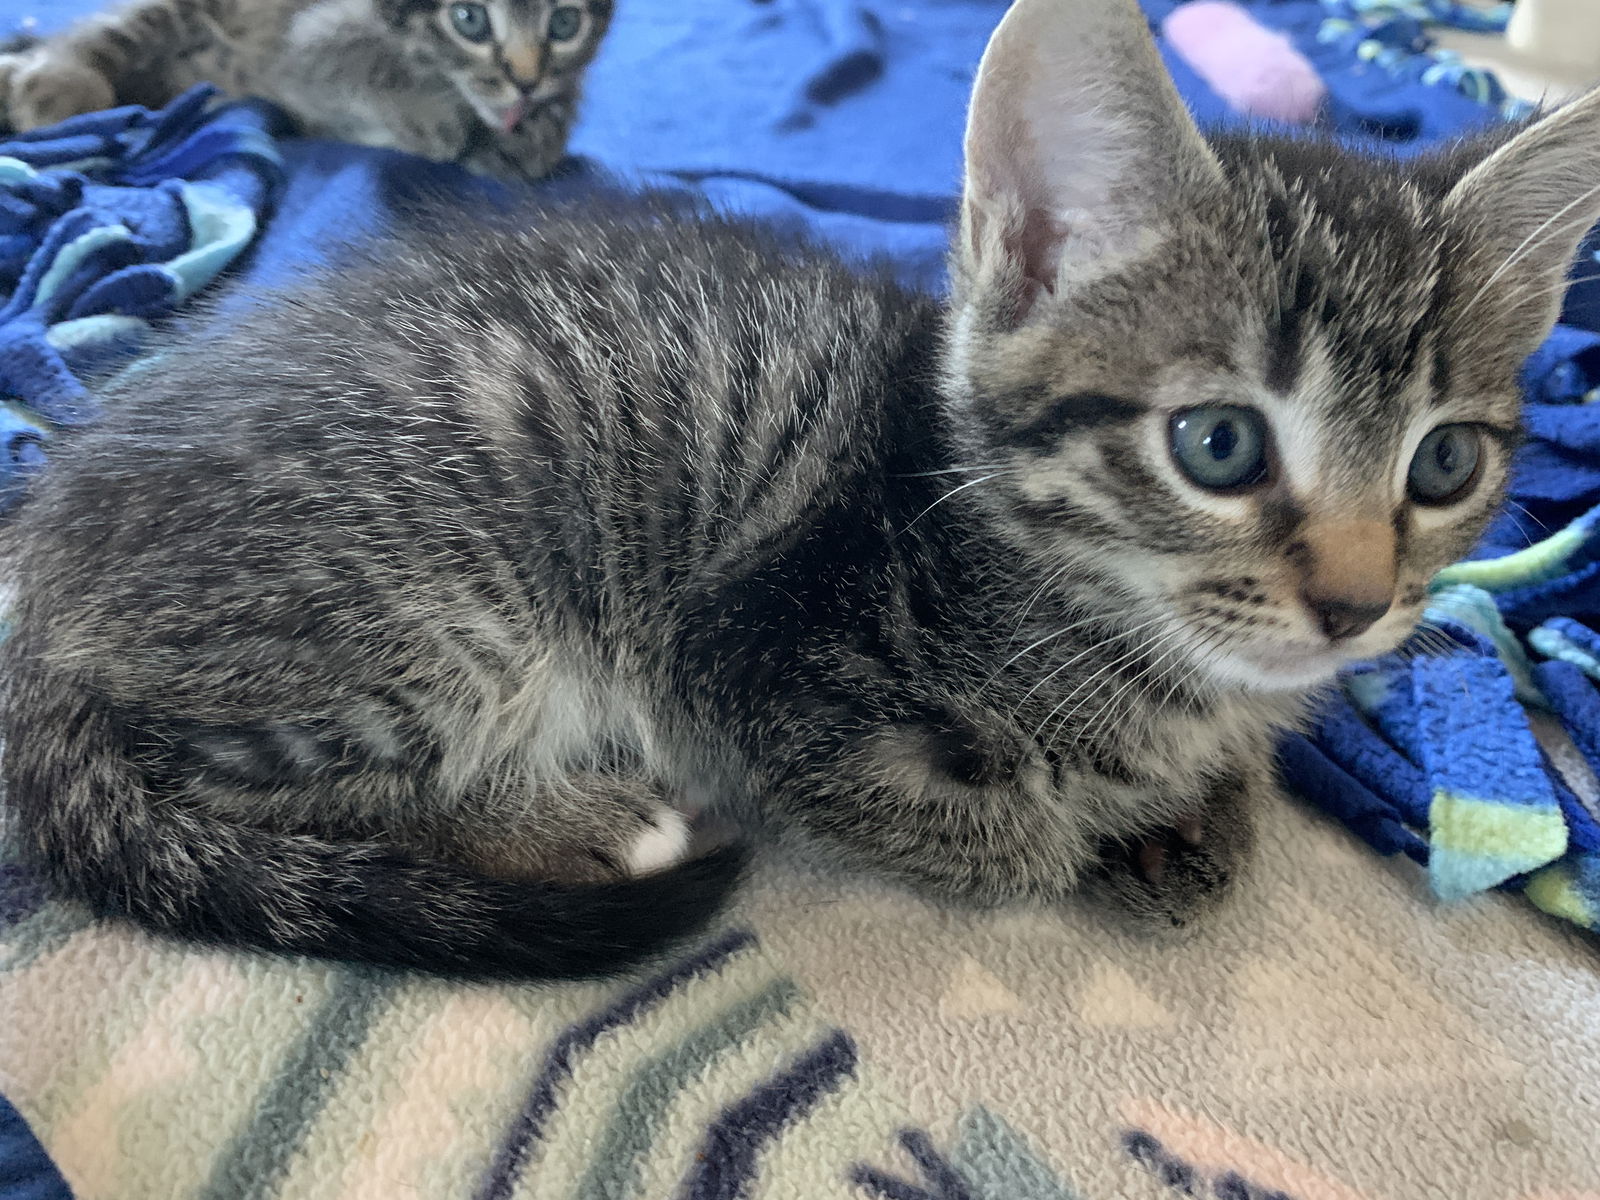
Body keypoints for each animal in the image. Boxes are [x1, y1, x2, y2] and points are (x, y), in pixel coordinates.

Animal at [0, 0, 611, 183]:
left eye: (564, 23)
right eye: (469, 19)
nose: (526, 80)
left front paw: (537, 128)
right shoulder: (303, 44)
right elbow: (352, 65)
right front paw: (431, 117)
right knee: (114, 32)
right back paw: (54, 84)